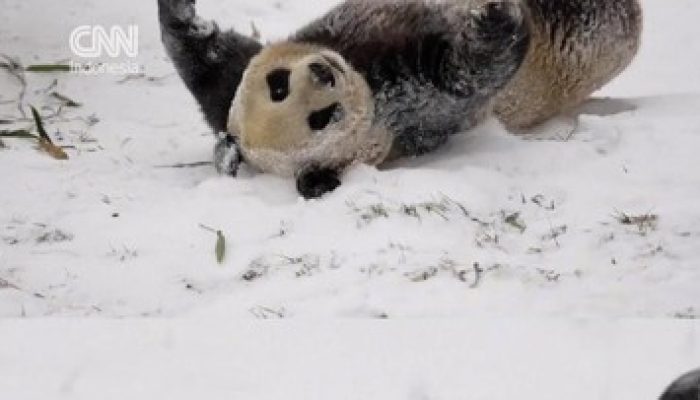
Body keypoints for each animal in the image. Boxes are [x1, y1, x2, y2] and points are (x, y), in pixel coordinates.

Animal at [158, 0, 642, 199]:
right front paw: (497, 19)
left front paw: (179, 11)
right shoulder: (409, 108)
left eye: (278, 85)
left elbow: (204, 56)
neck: (361, 73)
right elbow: (465, 73)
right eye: (322, 118)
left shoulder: (227, 88)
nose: (323, 72)